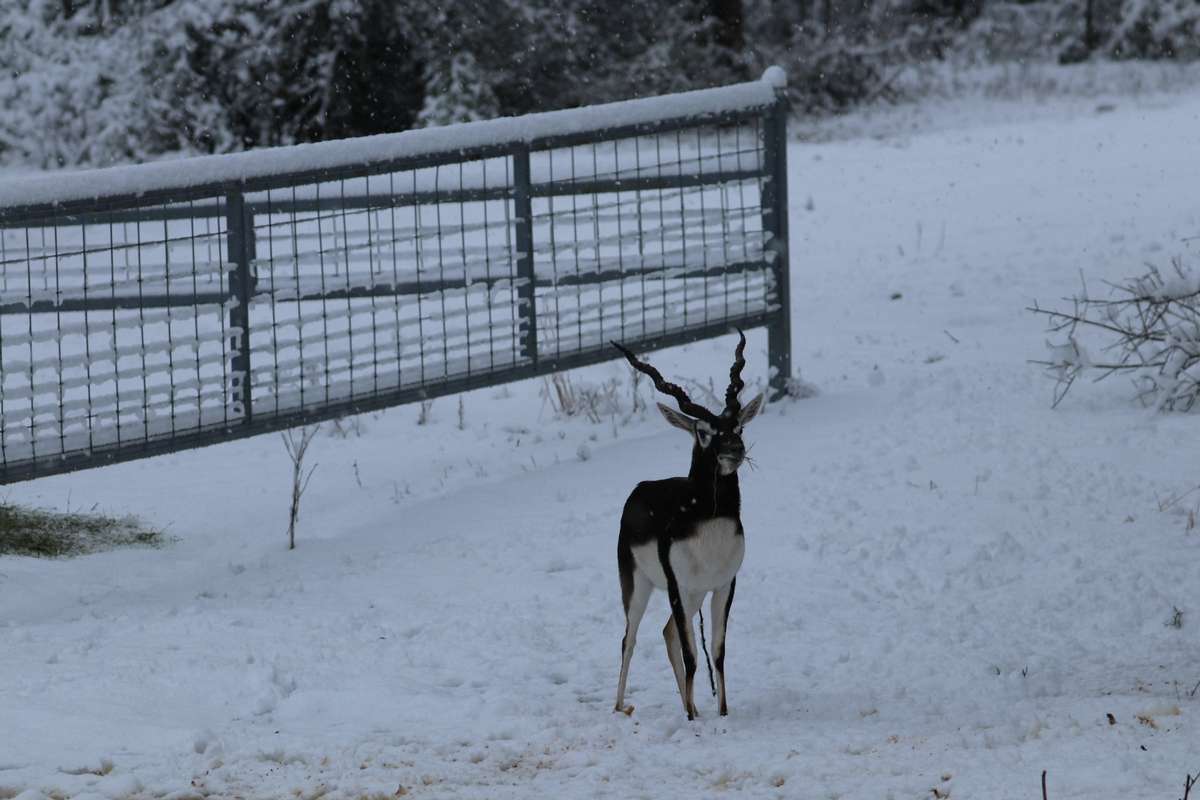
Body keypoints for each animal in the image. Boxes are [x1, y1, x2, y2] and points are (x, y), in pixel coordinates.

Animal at [611, 331, 763, 719]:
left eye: (738, 426)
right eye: (704, 431)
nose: (735, 449)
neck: (709, 520)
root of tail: (641, 488)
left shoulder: (724, 585)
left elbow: (718, 653)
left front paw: (721, 713)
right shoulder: (678, 588)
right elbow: (694, 657)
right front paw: (694, 720)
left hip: (694, 596)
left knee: (667, 634)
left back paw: (688, 704)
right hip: (639, 586)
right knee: (629, 638)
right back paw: (620, 706)